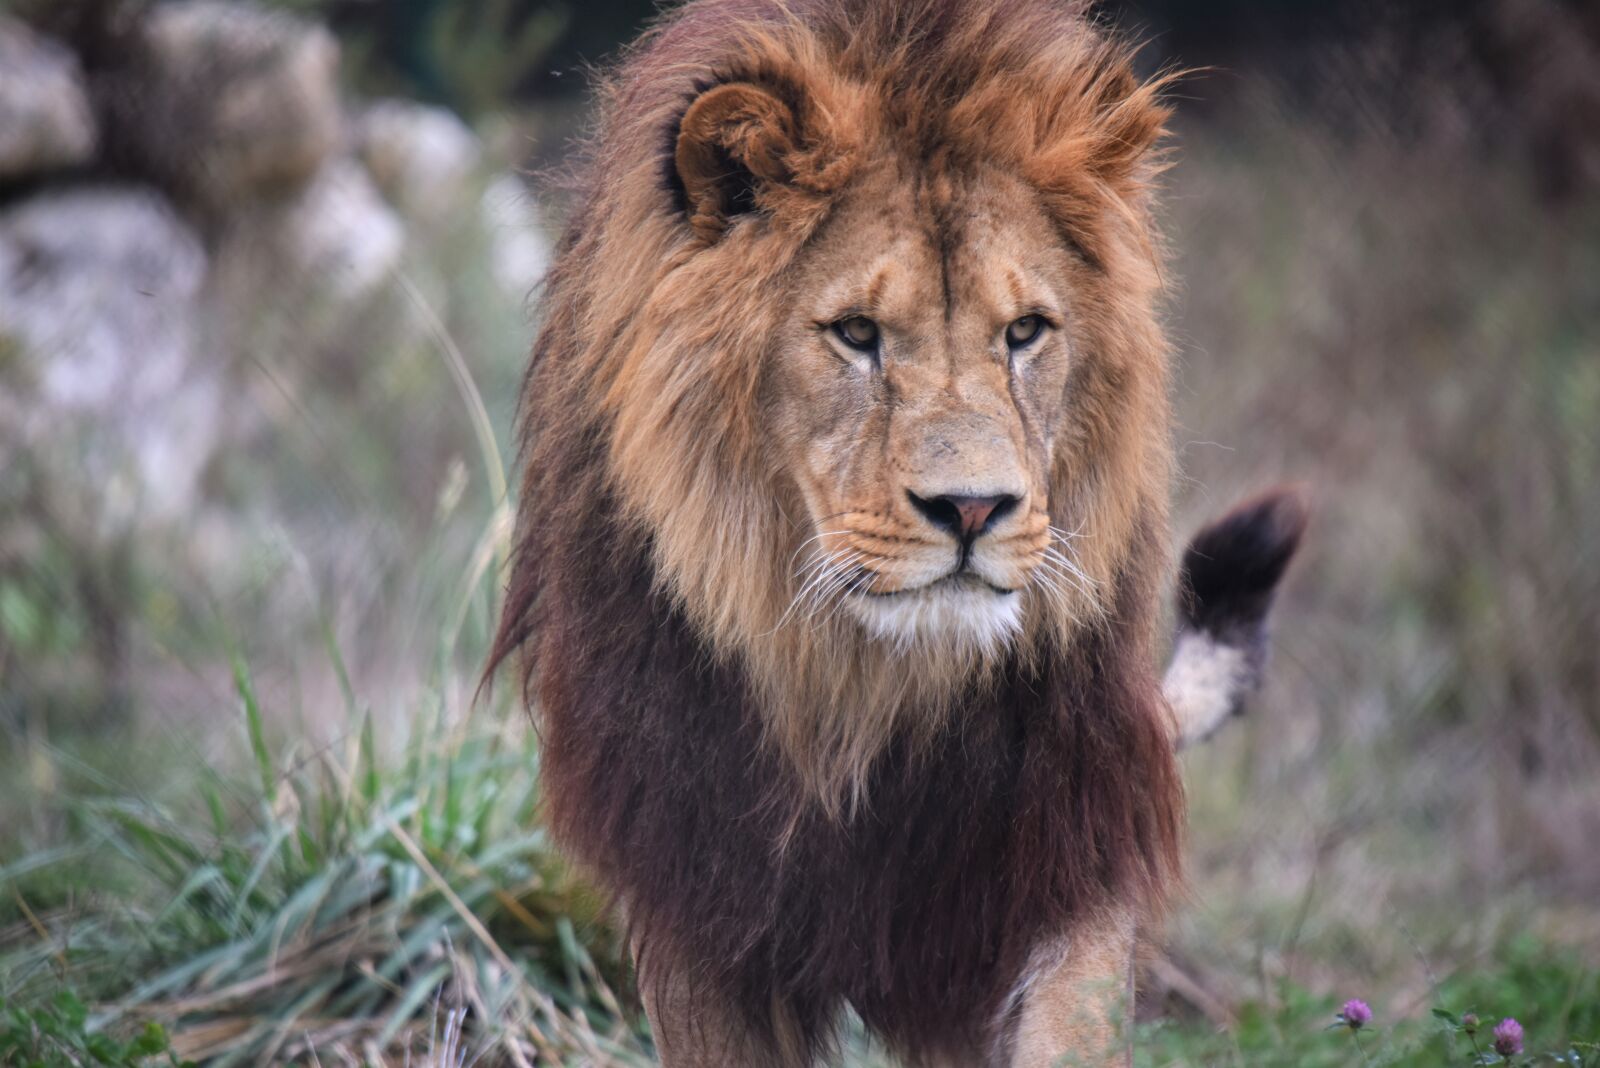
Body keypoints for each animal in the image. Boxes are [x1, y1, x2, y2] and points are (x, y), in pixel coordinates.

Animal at [485, 1, 1305, 1065]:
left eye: (1026, 331)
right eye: (857, 334)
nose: (973, 509)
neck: (859, 684)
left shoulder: (1065, 836)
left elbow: (1072, 1022)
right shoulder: (695, 890)